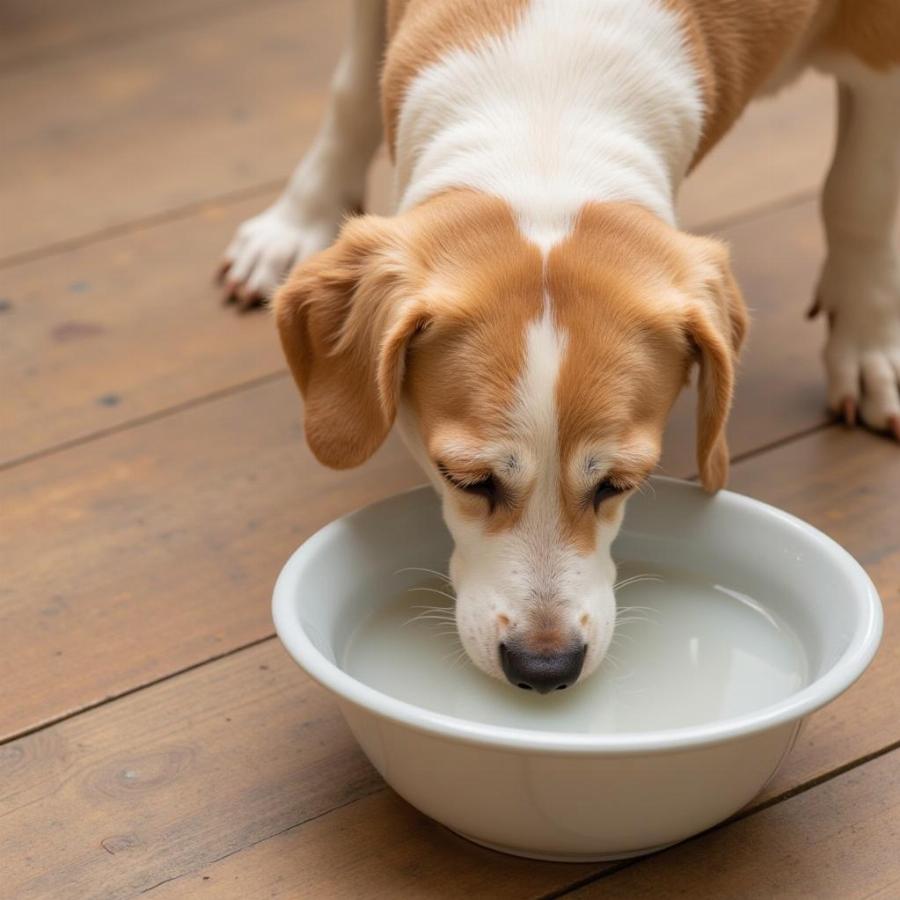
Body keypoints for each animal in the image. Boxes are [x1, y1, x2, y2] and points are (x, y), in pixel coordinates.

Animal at [216, 0, 900, 692]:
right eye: (464, 478)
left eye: (621, 484)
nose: (544, 669)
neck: (548, 107)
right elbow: (351, 92)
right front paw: (301, 215)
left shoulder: (878, 47)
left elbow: (859, 196)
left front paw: (868, 346)